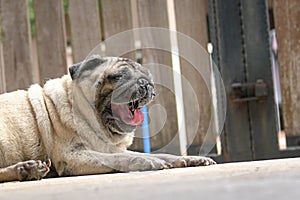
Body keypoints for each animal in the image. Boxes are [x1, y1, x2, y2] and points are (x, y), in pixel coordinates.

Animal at [0, 55, 216, 183]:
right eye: (119, 76)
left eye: (148, 77)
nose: (146, 83)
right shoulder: (74, 157)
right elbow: (119, 159)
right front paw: (146, 161)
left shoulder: (110, 148)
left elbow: (163, 155)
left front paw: (187, 159)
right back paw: (25, 170)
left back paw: (27, 169)